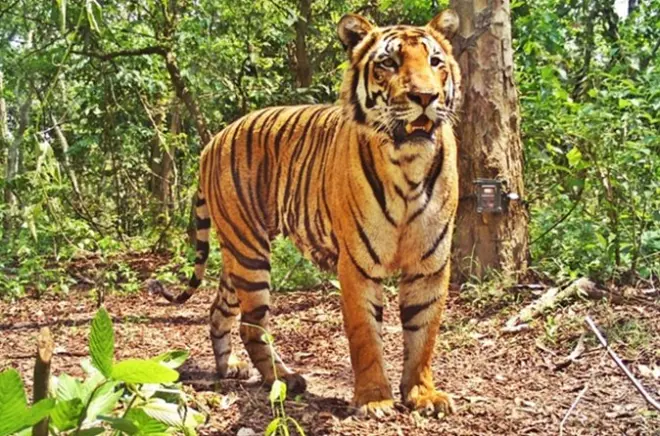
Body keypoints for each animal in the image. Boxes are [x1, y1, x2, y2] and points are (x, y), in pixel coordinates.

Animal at [156, 9, 462, 417]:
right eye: (389, 63)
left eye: (435, 62)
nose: (426, 96)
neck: (408, 166)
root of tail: (213, 140)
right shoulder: (357, 265)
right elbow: (366, 336)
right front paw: (374, 399)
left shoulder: (430, 264)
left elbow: (423, 335)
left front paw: (423, 394)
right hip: (250, 251)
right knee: (252, 325)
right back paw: (283, 379)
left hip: (236, 256)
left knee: (219, 308)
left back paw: (228, 367)